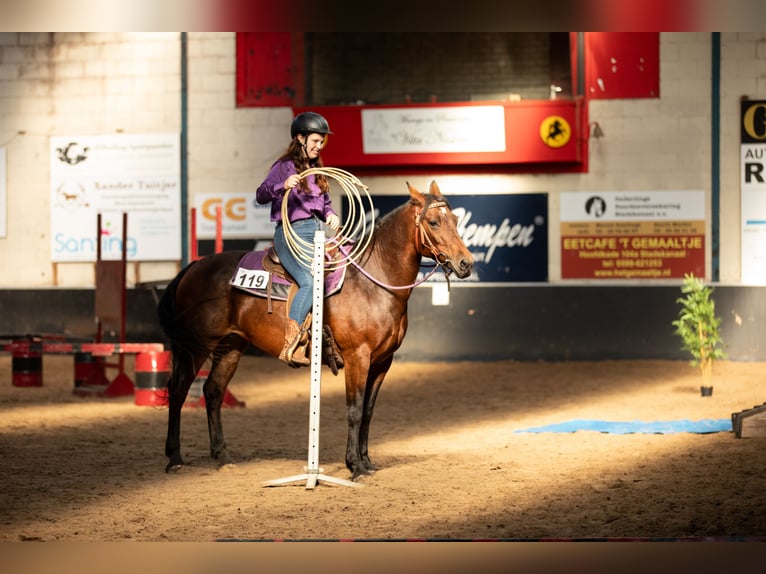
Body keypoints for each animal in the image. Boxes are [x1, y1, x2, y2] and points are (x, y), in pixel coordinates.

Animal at [157, 180, 473, 481]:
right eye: (433, 222)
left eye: (456, 220)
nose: (466, 263)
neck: (374, 283)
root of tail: (192, 268)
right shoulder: (358, 357)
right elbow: (354, 410)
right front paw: (355, 466)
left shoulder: (383, 361)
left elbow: (369, 412)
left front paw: (368, 462)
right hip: (195, 346)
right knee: (179, 390)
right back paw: (174, 459)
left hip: (231, 346)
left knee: (212, 392)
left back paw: (223, 457)